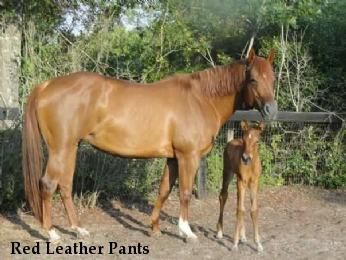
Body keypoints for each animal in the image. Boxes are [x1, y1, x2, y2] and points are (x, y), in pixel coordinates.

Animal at [216, 121, 264, 251]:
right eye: (244, 139)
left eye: (257, 141)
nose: (245, 158)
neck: (251, 165)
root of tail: (231, 141)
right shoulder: (241, 181)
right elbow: (240, 210)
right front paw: (234, 243)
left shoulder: (254, 182)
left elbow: (253, 210)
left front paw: (258, 244)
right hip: (228, 173)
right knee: (223, 196)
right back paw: (220, 232)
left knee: (239, 201)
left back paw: (243, 235)